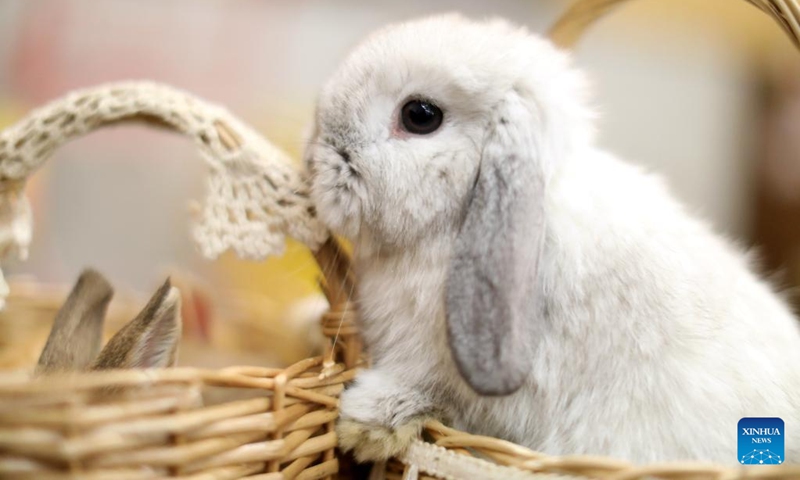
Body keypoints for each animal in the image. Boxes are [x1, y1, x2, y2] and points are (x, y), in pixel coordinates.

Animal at [304, 14, 800, 465]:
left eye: (419, 116)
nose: (317, 158)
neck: (455, 219)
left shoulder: (458, 377)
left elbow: (435, 394)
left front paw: (368, 424)